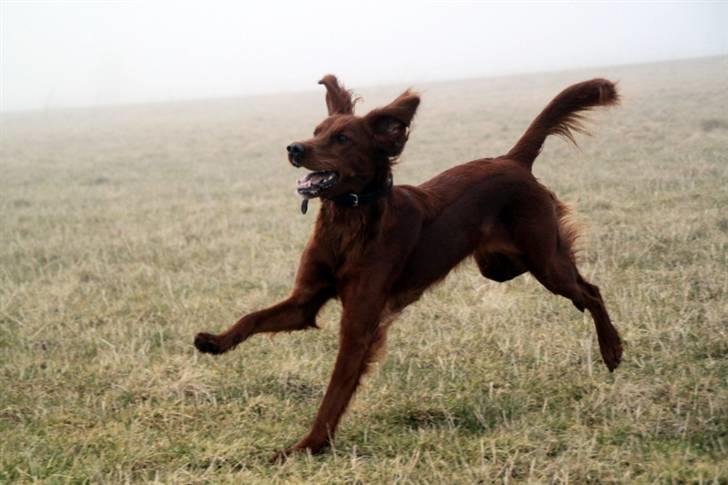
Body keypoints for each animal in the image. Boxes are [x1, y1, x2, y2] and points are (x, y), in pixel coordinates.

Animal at [196, 74, 624, 458]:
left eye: (342, 138)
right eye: (316, 130)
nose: (294, 148)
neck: (348, 224)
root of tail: (512, 160)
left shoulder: (360, 325)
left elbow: (335, 390)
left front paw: (308, 446)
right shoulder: (304, 301)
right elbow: (251, 318)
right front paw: (215, 342)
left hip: (542, 261)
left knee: (590, 290)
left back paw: (612, 349)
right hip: (501, 265)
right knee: (576, 283)